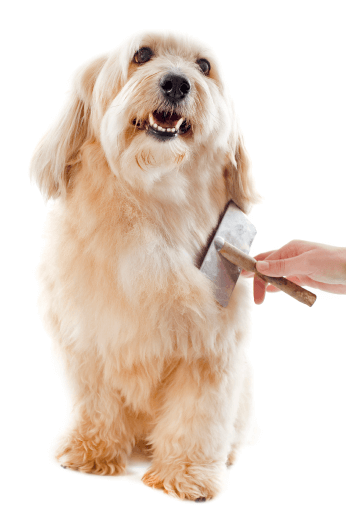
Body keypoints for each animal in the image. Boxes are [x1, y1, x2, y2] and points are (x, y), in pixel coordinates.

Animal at [31, 32, 258, 502]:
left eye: (204, 66)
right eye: (142, 55)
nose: (176, 83)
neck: (155, 200)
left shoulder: (209, 351)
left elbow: (197, 416)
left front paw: (186, 474)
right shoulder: (89, 339)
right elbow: (97, 401)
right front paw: (92, 451)